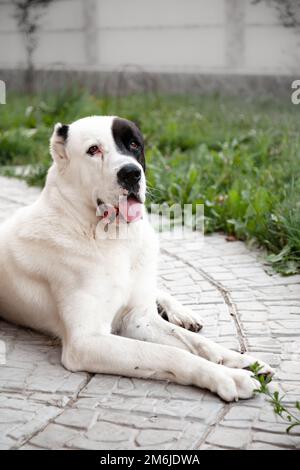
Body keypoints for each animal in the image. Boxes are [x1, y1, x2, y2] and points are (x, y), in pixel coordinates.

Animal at [0, 116, 274, 400]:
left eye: (134, 145)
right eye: (93, 150)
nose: (131, 173)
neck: (114, 239)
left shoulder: (138, 320)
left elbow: (196, 343)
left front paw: (241, 360)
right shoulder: (86, 341)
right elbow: (171, 353)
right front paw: (229, 376)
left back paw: (181, 312)